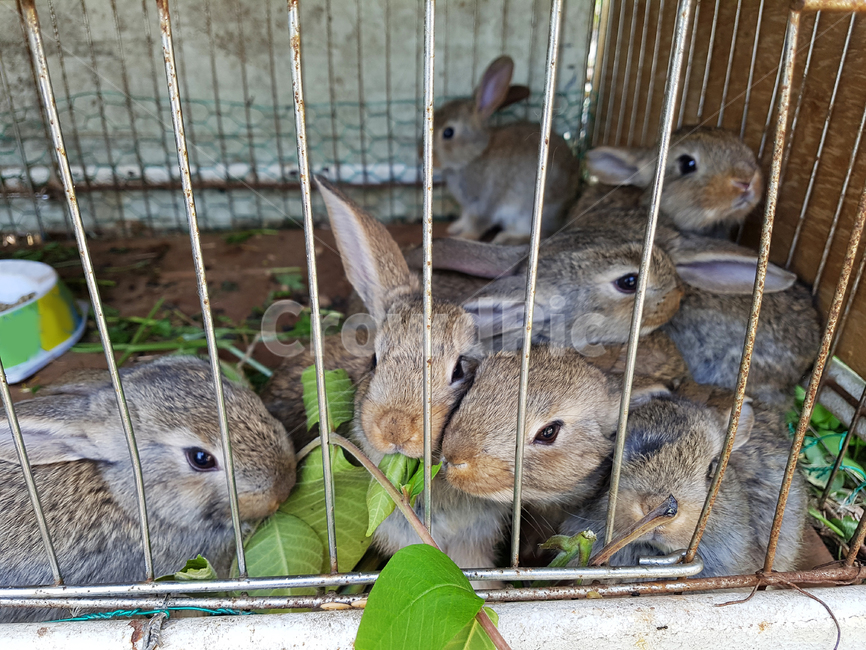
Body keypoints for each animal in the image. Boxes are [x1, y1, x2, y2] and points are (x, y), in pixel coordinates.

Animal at [432, 55, 580, 245]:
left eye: (448, 132)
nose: (421, 155)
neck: (475, 155)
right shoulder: (468, 208)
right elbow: (465, 218)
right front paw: (455, 228)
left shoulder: (485, 204)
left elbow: (478, 225)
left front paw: (463, 238)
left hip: (528, 214)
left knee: (540, 234)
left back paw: (505, 237)